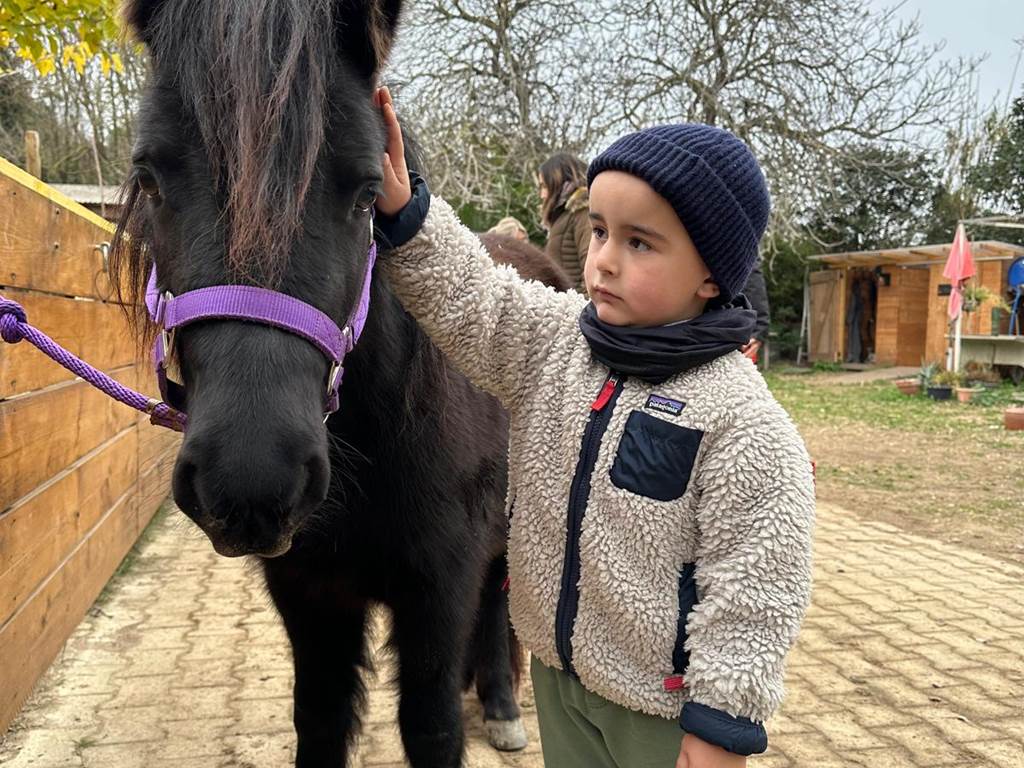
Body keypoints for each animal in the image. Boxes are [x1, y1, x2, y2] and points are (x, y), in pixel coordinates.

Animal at [112, 1, 565, 765]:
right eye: (149, 177)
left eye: (364, 192)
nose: (251, 480)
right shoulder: (310, 597)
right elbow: (319, 722)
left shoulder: (437, 592)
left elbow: (433, 724)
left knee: (500, 605)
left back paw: (504, 706)